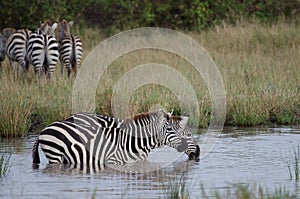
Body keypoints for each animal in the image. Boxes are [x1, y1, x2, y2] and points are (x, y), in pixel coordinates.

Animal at [32, 109, 193, 167]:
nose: (185, 146)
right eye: (171, 130)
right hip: (54, 155)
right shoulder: (113, 161)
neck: (133, 142)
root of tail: (43, 130)